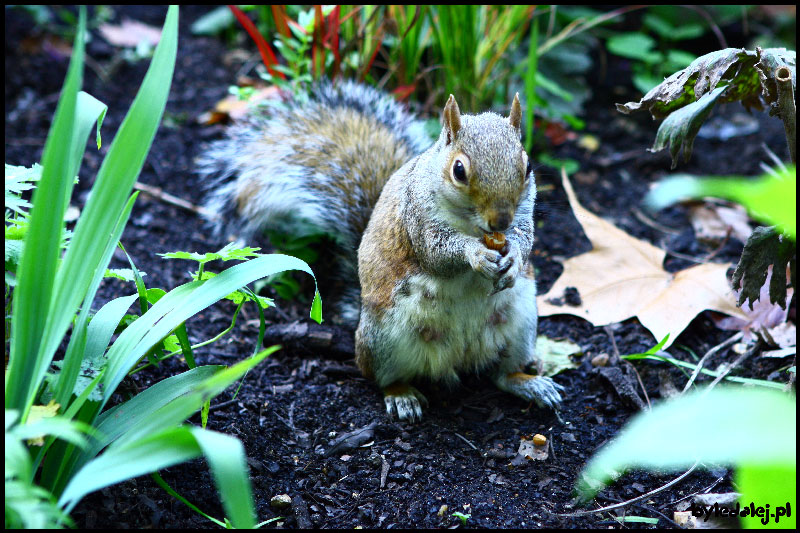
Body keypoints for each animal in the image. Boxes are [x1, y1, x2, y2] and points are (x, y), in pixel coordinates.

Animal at [198, 79, 564, 420]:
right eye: (459, 170)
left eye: (528, 166)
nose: (500, 220)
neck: (473, 226)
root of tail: (458, 361)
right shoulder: (416, 215)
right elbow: (437, 252)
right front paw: (476, 255)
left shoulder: (524, 212)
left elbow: (525, 238)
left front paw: (513, 257)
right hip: (385, 340)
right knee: (379, 377)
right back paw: (401, 396)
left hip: (521, 325)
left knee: (501, 374)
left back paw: (530, 383)